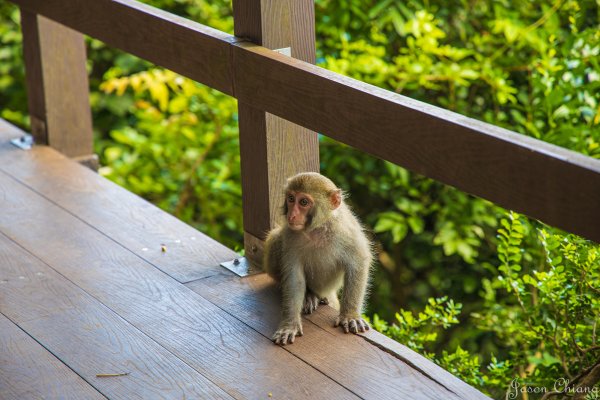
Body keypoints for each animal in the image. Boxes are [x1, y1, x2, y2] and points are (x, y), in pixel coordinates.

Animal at [264, 171, 372, 344]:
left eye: (304, 202)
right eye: (291, 198)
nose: (291, 215)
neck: (317, 229)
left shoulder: (346, 230)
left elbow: (358, 262)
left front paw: (350, 315)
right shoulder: (290, 236)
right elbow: (294, 278)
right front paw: (289, 324)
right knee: (275, 238)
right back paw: (309, 295)